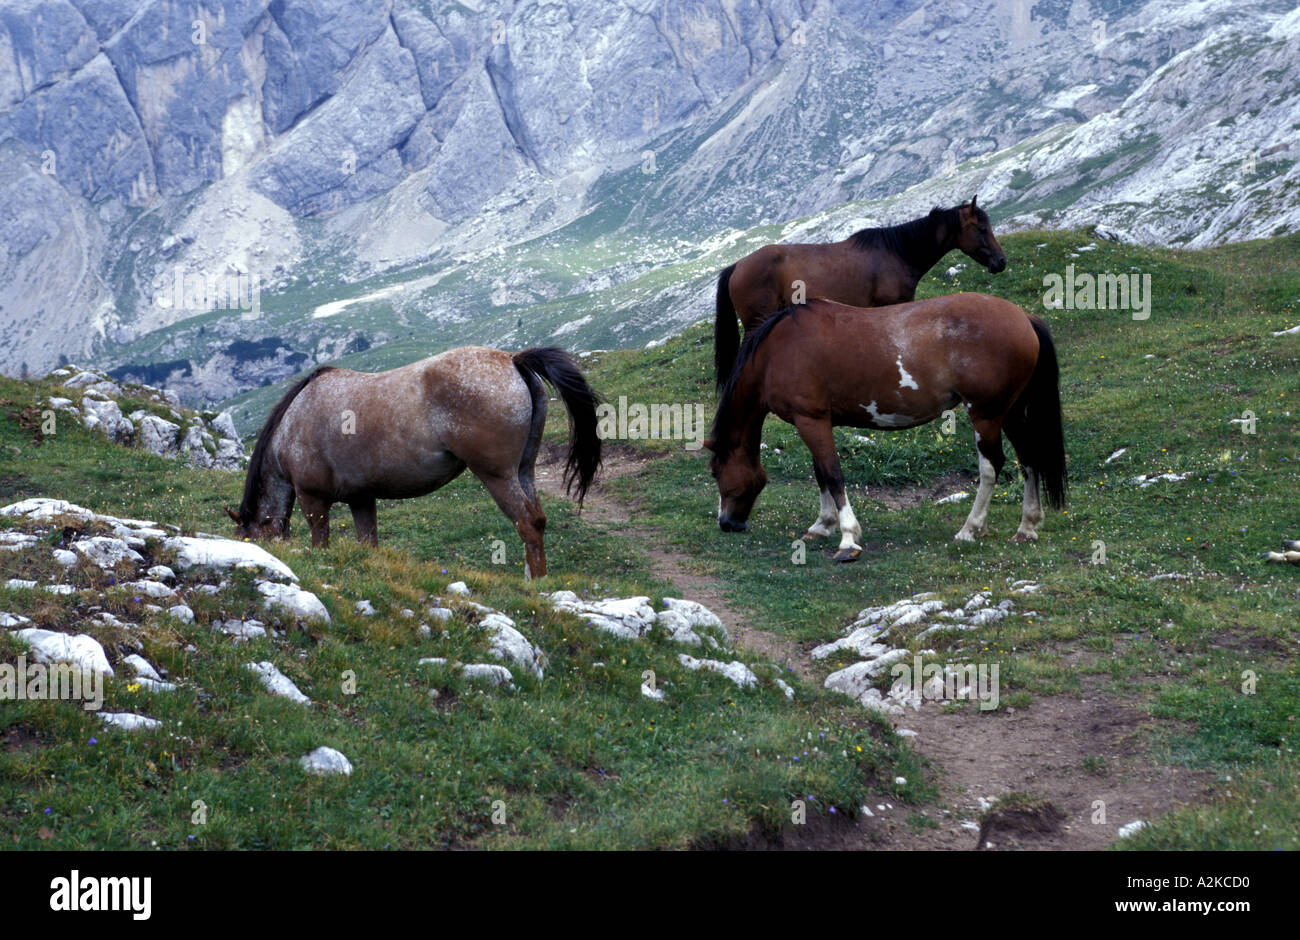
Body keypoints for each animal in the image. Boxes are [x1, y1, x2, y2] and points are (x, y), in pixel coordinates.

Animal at [226, 346, 602, 580]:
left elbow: (321, 541)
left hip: (498, 475)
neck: (293, 422)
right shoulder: (362, 500)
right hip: (523, 471)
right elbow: (369, 543)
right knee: (537, 520)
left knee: (526, 523)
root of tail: (513, 361)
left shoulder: (312, 498)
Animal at [705, 295, 1066, 562]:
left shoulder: (811, 420)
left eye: (716, 472)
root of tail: (1023, 318)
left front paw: (847, 537)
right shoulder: (817, 422)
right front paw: (822, 525)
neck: (778, 351)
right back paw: (1027, 526)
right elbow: (821, 472)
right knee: (1029, 459)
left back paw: (970, 529)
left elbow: (833, 474)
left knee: (992, 467)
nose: (727, 523)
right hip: (1011, 413)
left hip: (986, 415)